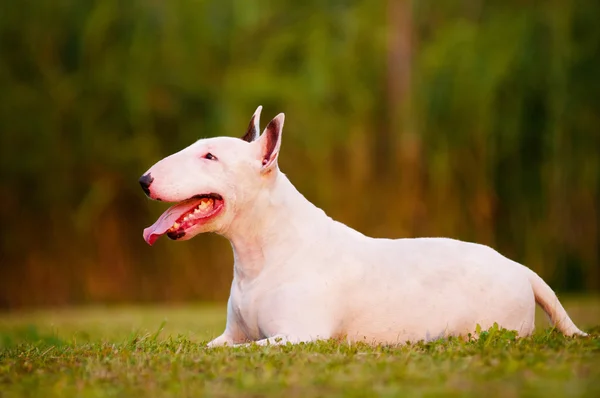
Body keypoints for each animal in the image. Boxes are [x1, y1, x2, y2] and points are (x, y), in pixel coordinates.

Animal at [141, 106, 584, 346]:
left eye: (210, 156)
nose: (144, 180)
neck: (264, 251)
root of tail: (521, 268)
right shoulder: (232, 334)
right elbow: (212, 345)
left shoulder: (299, 336)